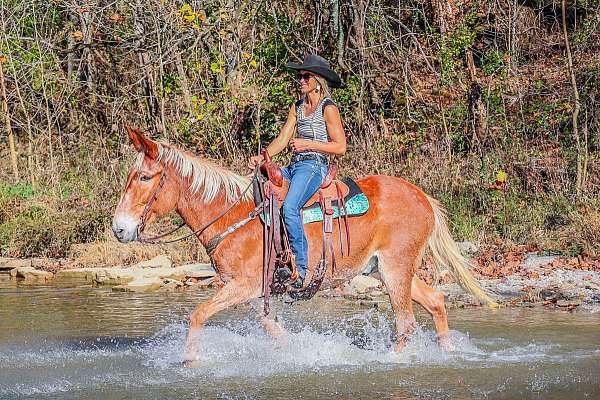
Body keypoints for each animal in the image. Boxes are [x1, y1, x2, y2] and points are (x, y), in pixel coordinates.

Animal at [112, 126, 496, 364]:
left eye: (144, 177)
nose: (119, 229)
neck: (231, 215)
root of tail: (422, 196)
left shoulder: (245, 285)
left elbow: (199, 314)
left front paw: (190, 360)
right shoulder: (256, 293)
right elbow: (272, 329)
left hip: (395, 269)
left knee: (406, 322)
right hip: (388, 270)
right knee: (436, 302)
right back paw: (447, 353)